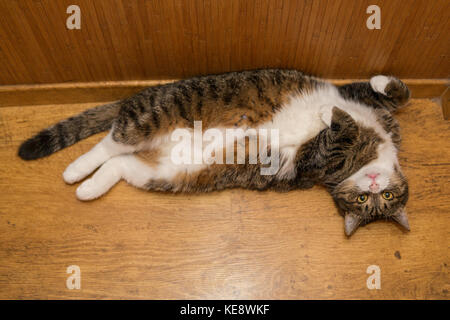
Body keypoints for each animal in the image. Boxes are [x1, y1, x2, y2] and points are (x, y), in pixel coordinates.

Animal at [18, 69, 412, 236]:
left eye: (381, 201)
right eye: (365, 200)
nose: (374, 186)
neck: (378, 146)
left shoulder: (313, 160)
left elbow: (339, 130)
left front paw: (331, 116)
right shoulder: (357, 101)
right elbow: (392, 94)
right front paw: (376, 83)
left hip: (162, 172)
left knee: (117, 161)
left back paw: (84, 185)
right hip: (155, 114)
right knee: (111, 141)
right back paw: (75, 170)